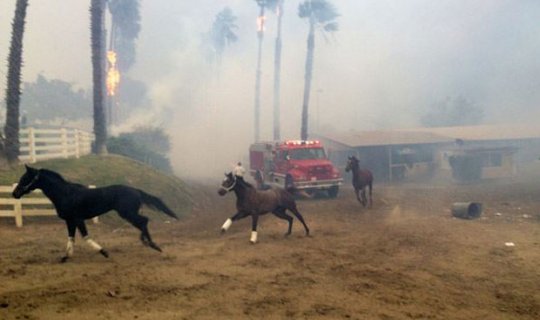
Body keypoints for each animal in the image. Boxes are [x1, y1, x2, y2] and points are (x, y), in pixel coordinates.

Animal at [12, 165, 178, 262]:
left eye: (25, 178)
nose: (15, 193)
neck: (65, 194)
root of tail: (136, 190)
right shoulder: (69, 220)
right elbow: (71, 238)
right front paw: (65, 257)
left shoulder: (78, 219)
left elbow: (85, 237)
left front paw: (104, 252)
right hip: (128, 213)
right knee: (143, 221)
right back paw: (150, 243)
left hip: (127, 213)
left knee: (144, 221)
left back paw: (151, 244)